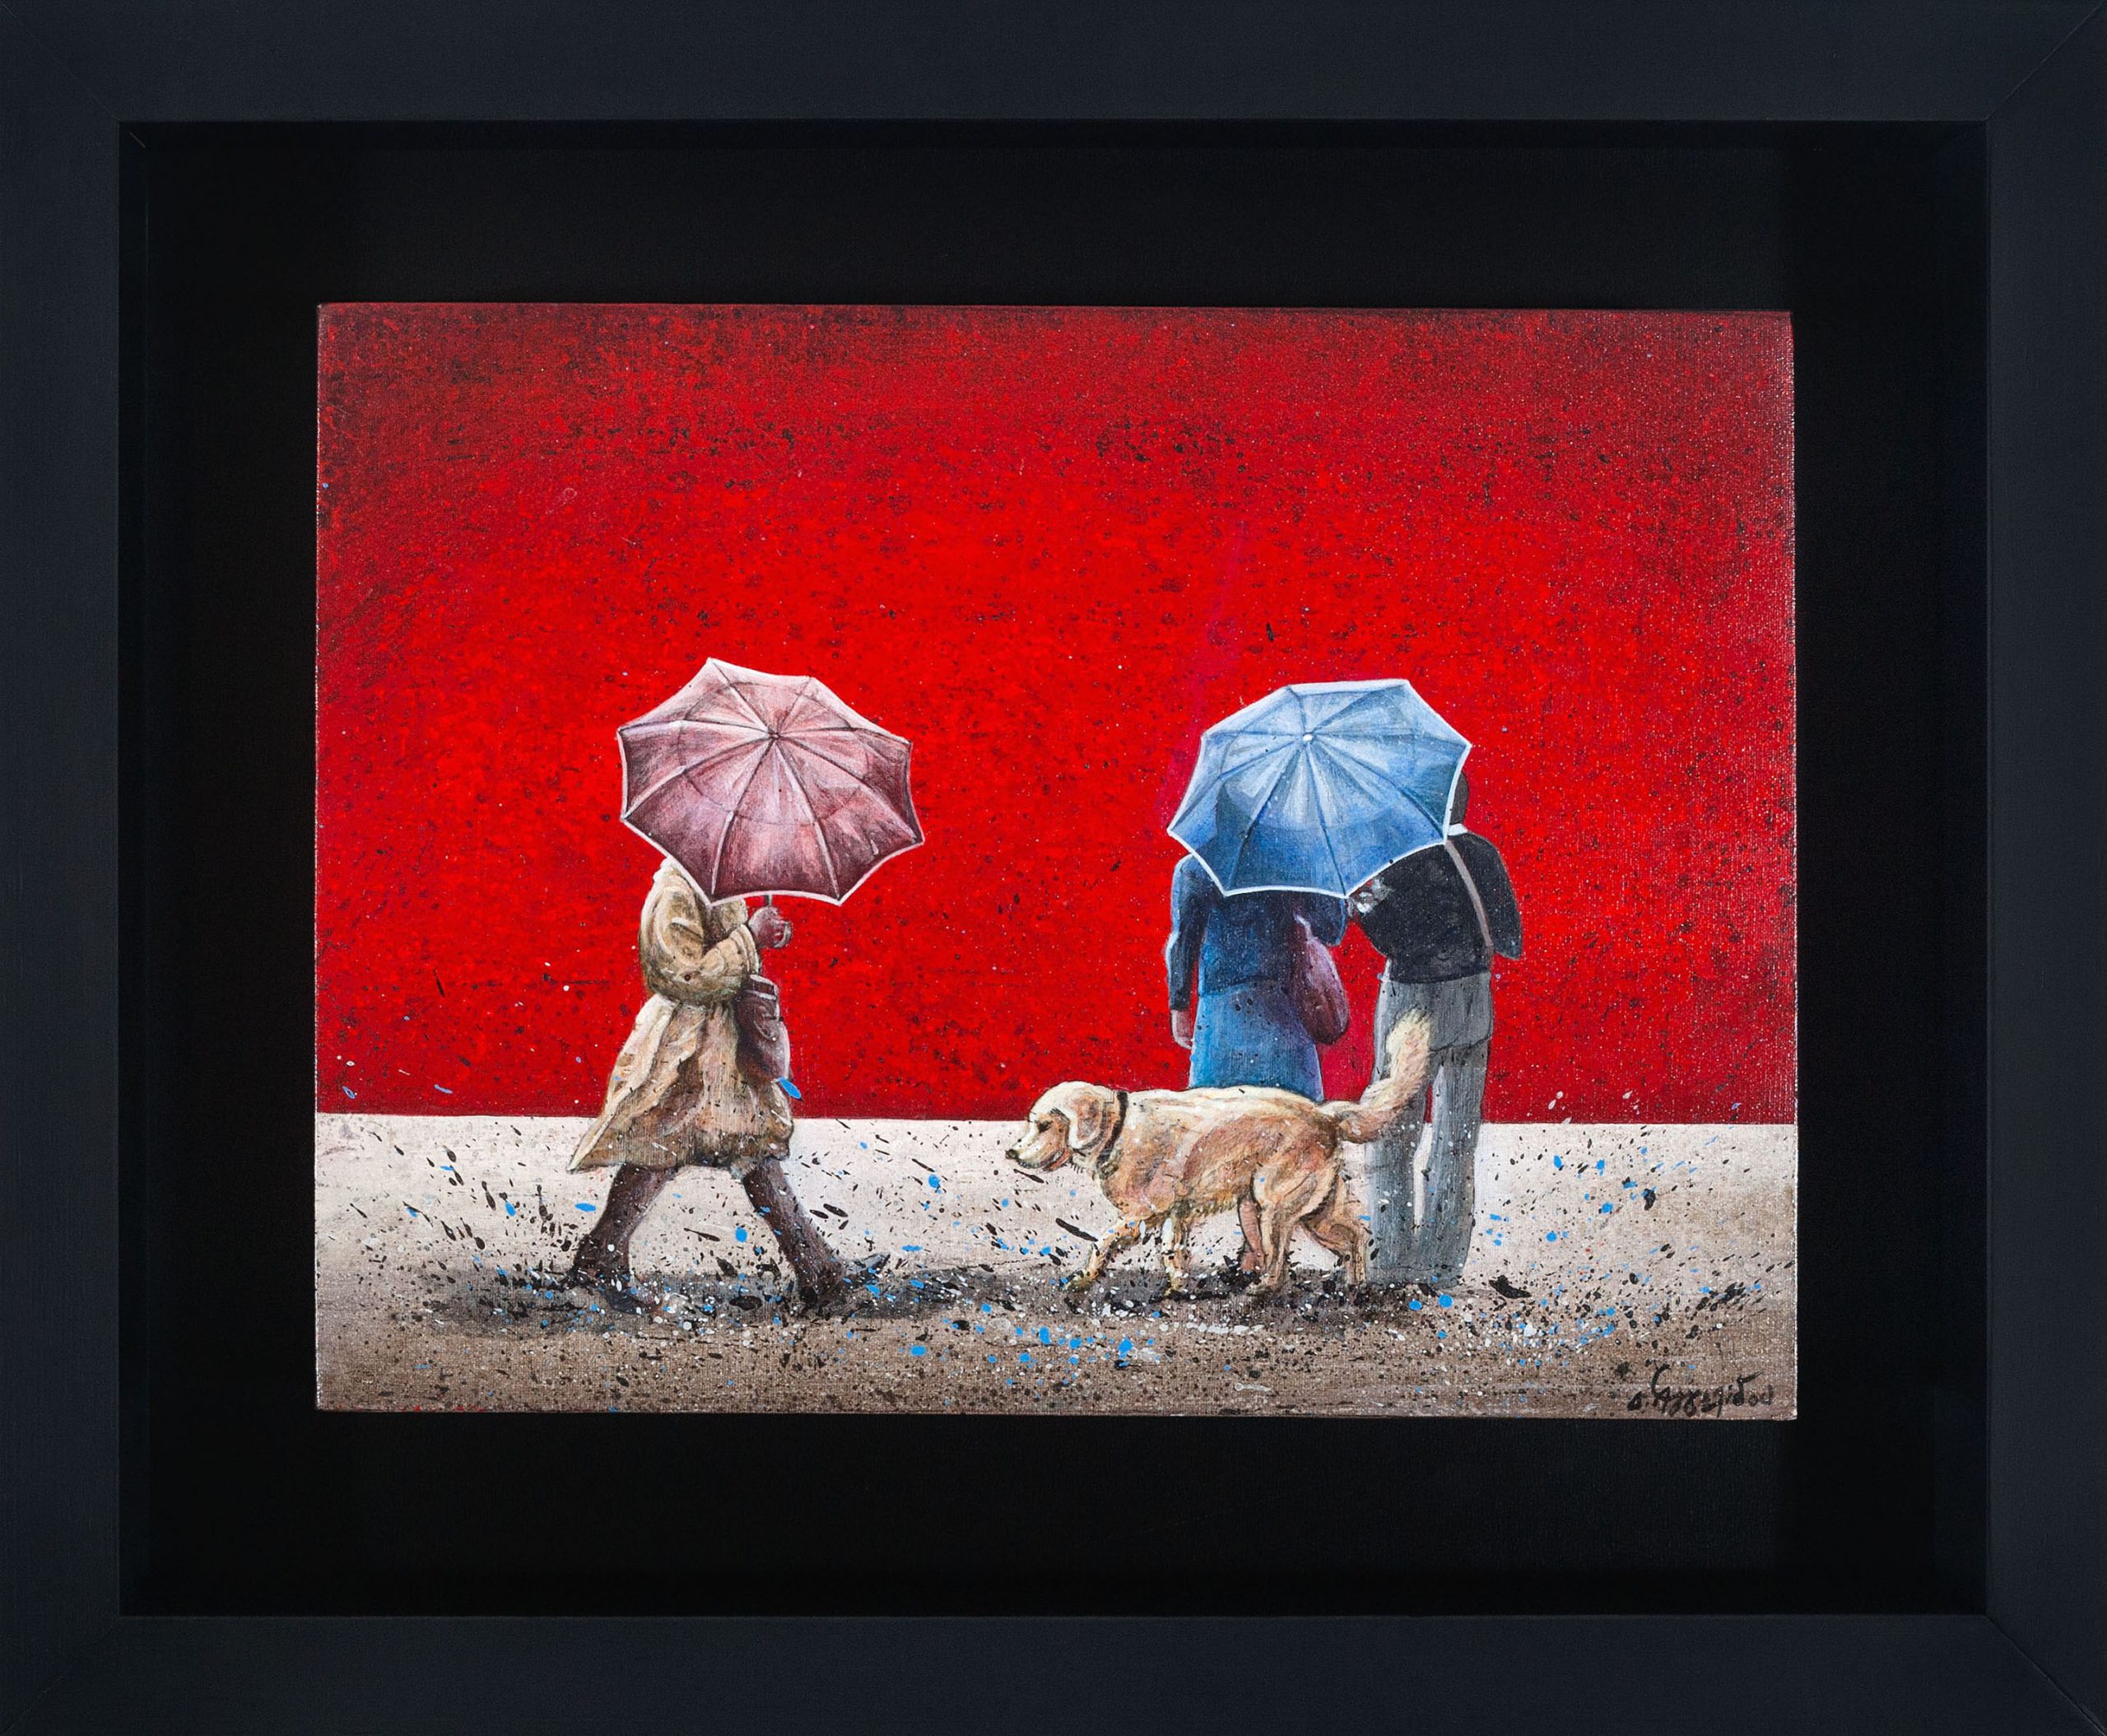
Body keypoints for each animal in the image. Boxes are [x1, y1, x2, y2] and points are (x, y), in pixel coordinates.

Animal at [1007, 1012, 1432, 1301]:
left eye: (1044, 1125)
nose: (1012, 1152)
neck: (1119, 1130)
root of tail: (1326, 1116)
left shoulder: (1144, 1213)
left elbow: (1102, 1243)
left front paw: (1082, 1280)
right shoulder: (1175, 1216)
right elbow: (1172, 1253)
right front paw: (1177, 1289)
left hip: (1273, 1208)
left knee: (1279, 1260)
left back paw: (1263, 1290)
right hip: (1310, 1211)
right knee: (1355, 1238)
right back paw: (1353, 1288)